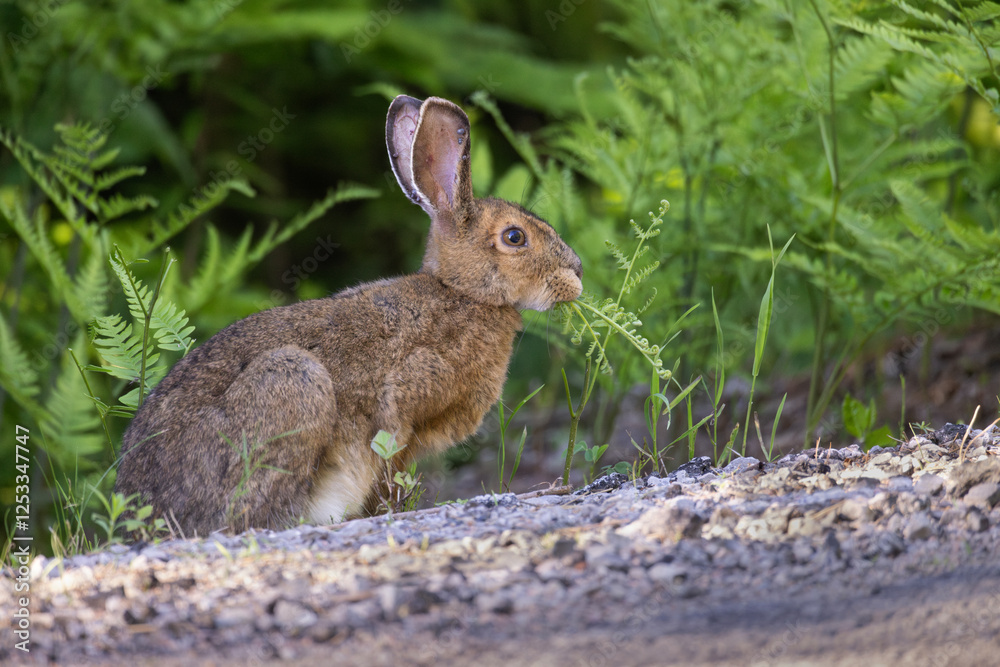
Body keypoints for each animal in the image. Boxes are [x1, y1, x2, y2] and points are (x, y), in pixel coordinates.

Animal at [114, 95, 583, 536]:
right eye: (515, 237)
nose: (576, 273)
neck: (462, 293)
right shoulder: (403, 409)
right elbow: (389, 474)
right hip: (292, 381)